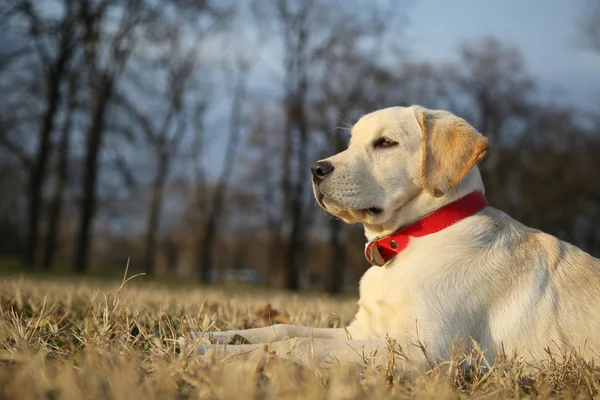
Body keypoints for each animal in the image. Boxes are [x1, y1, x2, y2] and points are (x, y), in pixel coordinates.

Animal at [195, 104, 600, 370]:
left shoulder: (424, 352)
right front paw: (210, 339)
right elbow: (284, 329)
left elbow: (301, 345)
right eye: (351, 142)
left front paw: (223, 356)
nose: (315, 169)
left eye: (385, 143)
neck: (410, 241)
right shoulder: (360, 330)